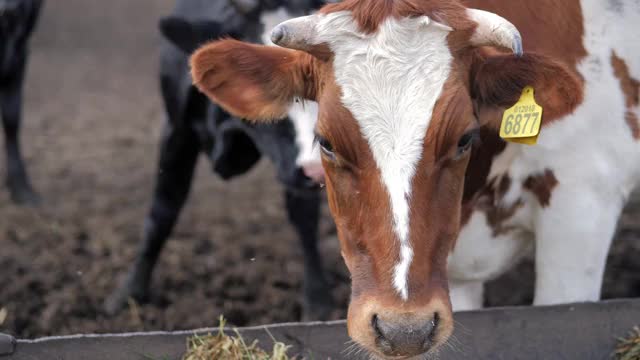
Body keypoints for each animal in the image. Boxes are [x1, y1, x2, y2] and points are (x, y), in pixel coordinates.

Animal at [106, 0, 336, 320]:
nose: (315, 170)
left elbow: (304, 217)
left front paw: (317, 302)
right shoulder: (176, 128)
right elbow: (163, 210)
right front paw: (129, 292)